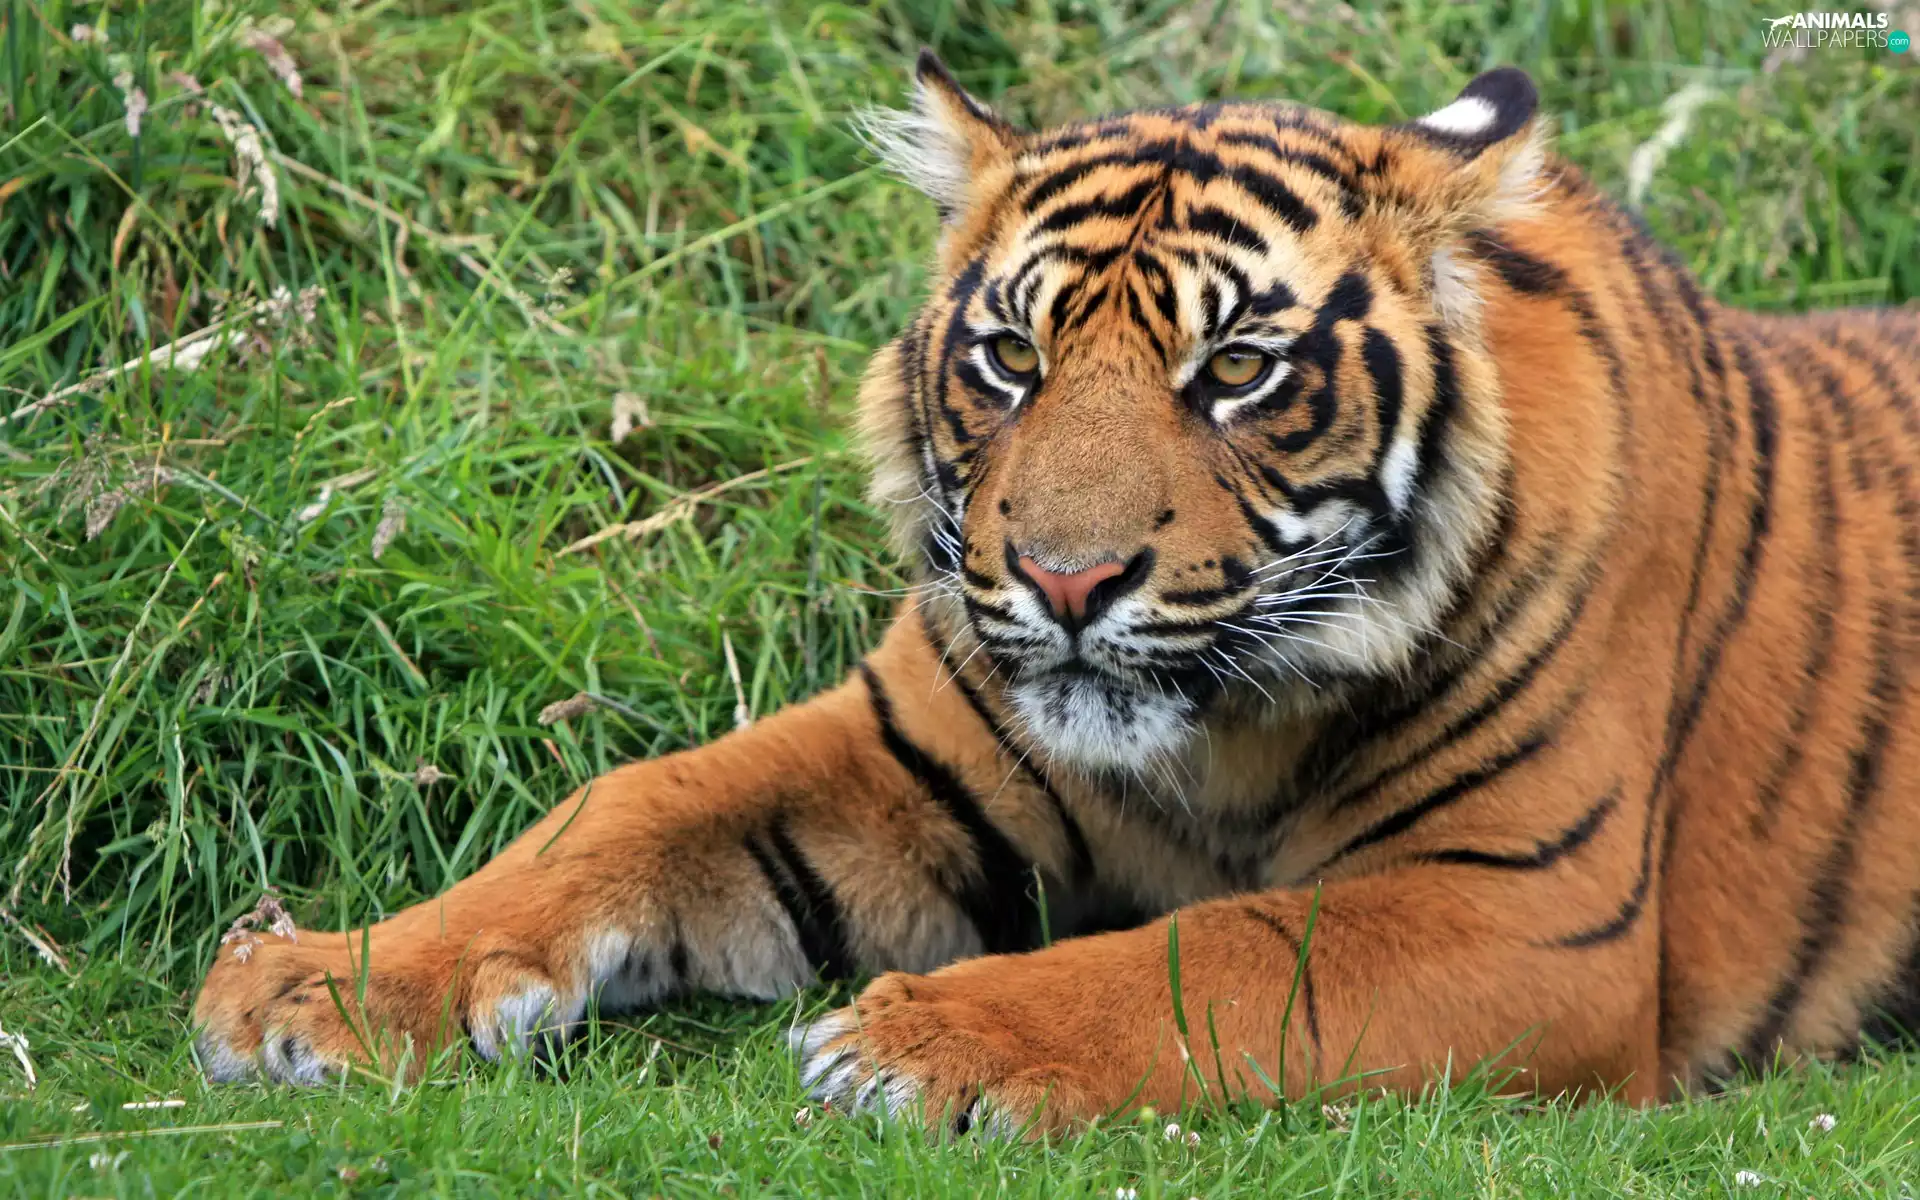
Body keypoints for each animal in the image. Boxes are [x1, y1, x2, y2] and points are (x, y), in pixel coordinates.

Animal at [190, 53, 1920, 1133]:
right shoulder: (898, 749)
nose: (1067, 578)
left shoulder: (1530, 909)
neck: (1218, 739)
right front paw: (314, 984)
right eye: (1012, 356)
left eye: (1236, 371)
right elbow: (619, 809)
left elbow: (1224, 952)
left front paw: (919, 1039)